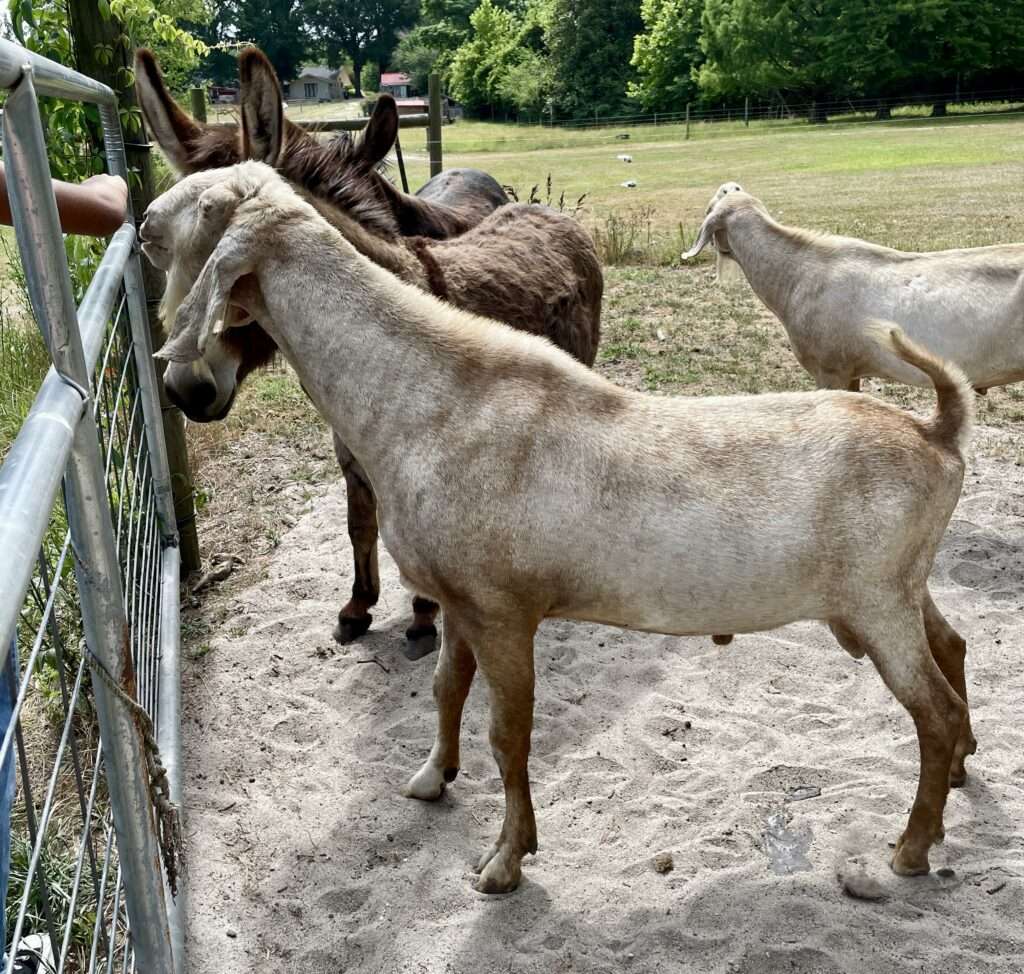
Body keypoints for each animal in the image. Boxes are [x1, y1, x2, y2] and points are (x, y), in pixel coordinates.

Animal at [148, 161, 970, 897]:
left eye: (193, 214)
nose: (186, 389)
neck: (430, 399)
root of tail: (939, 432)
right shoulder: (458, 602)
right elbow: (445, 688)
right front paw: (431, 778)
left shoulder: (505, 613)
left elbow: (509, 735)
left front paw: (505, 862)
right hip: (901, 589)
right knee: (954, 652)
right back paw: (962, 770)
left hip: (876, 604)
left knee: (933, 711)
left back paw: (910, 848)